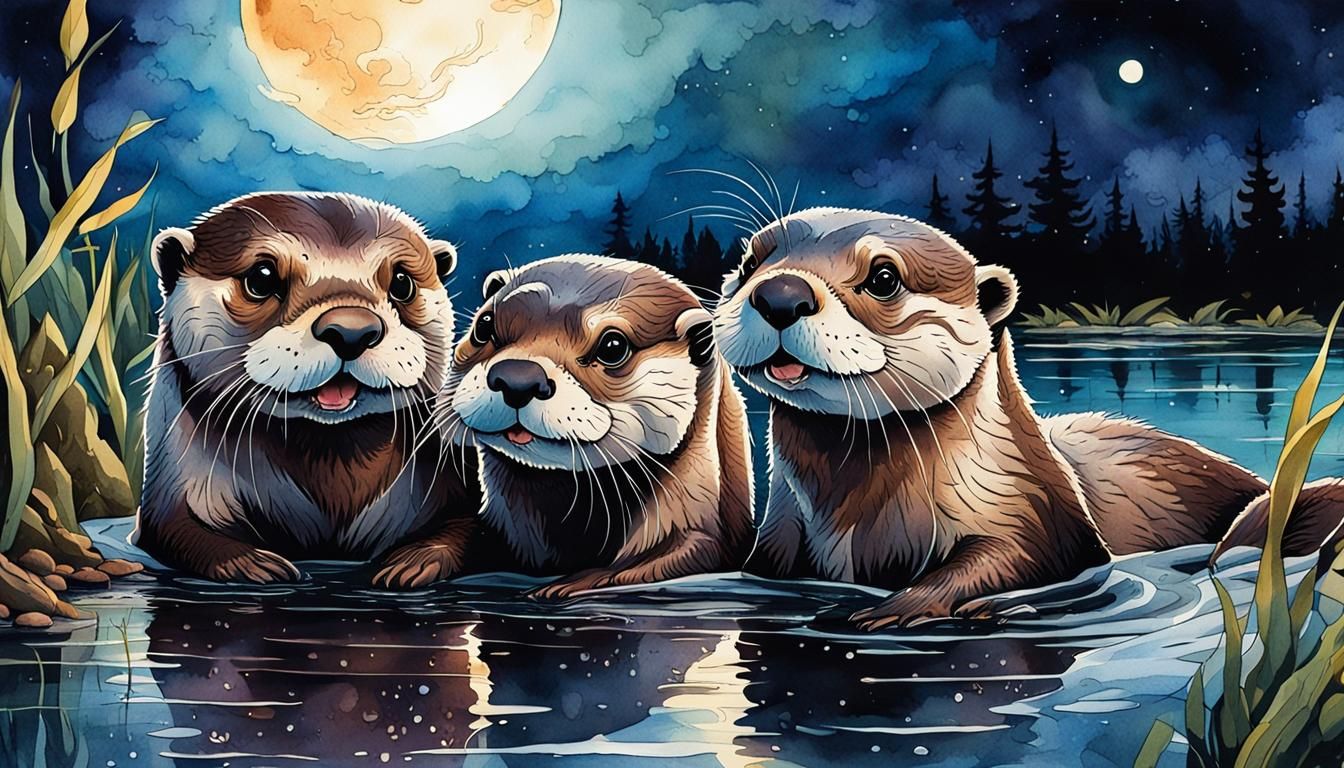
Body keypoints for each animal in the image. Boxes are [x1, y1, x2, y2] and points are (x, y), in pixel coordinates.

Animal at [136, 192, 480, 587]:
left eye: (402, 282)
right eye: (261, 278)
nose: (351, 330)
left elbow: (468, 528)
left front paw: (413, 562)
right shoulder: (174, 479)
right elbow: (176, 528)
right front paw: (255, 565)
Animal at [435, 254, 753, 598]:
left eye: (613, 346)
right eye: (484, 325)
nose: (517, 378)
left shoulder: (703, 534)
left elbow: (648, 564)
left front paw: (572, 582)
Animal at [714, 207, 1341, 629]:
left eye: (884, 277)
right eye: (749, 262)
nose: (781, 293)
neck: (861, 517)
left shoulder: (1035, 506)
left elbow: (1017, 557)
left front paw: (898, 608)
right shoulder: (777, 540)